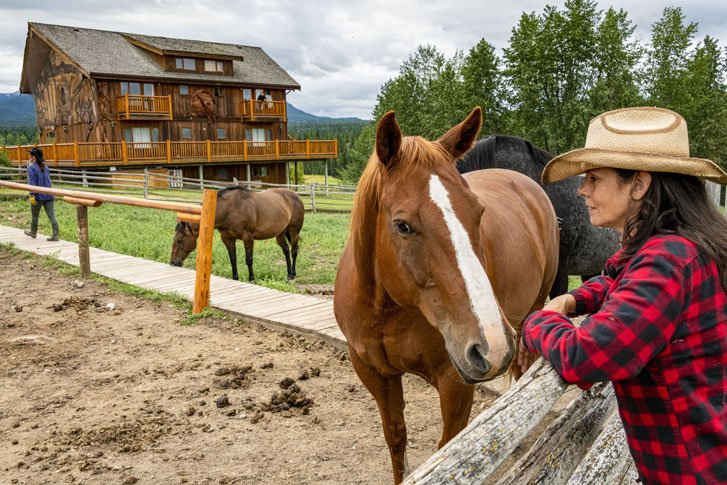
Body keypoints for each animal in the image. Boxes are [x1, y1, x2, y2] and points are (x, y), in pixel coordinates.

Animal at [170, 187, 304, 282]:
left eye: (179, 240)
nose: (172, 262)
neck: (230, 209)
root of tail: (296, 195)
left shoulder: (248, 238)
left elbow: (249, 259)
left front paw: (252, 279)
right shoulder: (227, 238)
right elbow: (233, 259)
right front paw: (235, 278)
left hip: (294, 232)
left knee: (294, 251)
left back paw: (292, 275)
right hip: (280, 234)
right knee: (286, 250)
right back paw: (288, 273)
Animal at [332, 108, 560, 482]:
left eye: (479, 213)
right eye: (402, 225)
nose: (492, 345)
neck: (386, 310)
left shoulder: (455, 381)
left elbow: (449, 448)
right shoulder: (373, 373)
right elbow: (396, 438)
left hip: (530, 310)